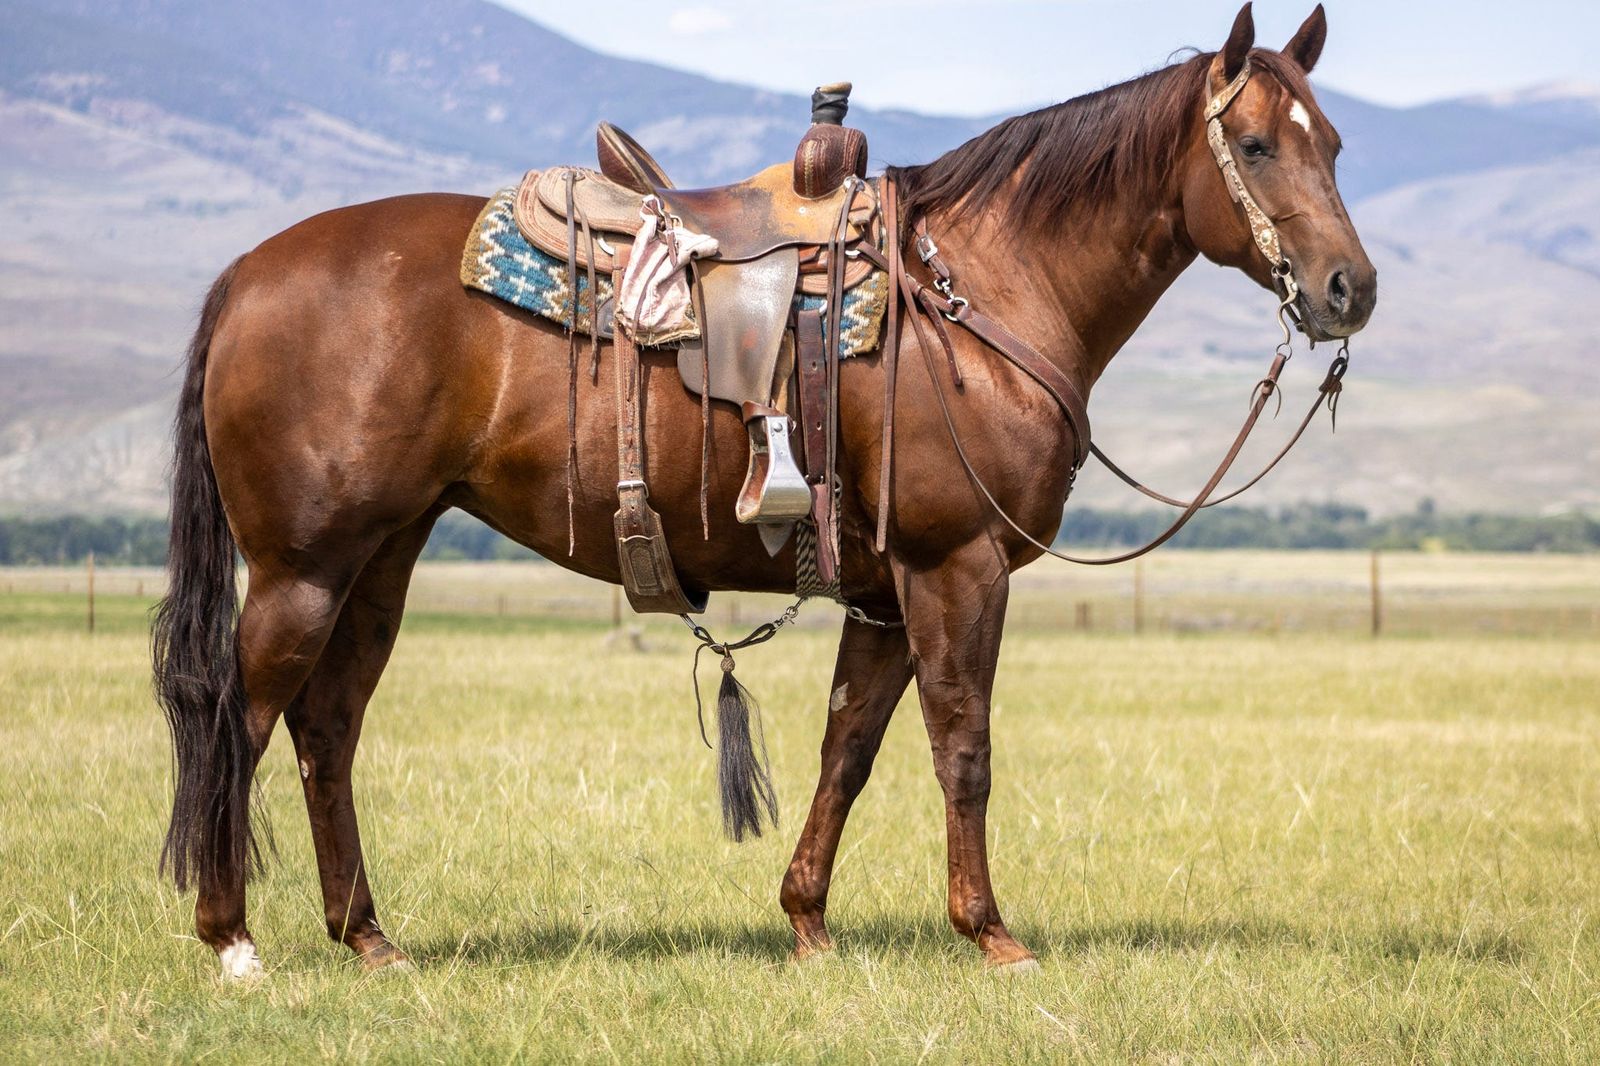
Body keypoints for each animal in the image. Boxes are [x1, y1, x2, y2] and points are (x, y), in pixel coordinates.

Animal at [152, 3, 1375, 978]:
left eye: (1334, 143)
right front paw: (989, 931)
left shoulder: (885, 592)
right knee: (239, 718)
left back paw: (366, 935)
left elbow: (852, 746)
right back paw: (231, 936)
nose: (1348, 289)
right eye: (1255, 143)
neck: (978, 290)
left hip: (383, 557)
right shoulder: (956, 565)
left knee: (327, 727)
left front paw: (808, 921)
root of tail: (247, 274)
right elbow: (964, 746)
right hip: (303, 569)